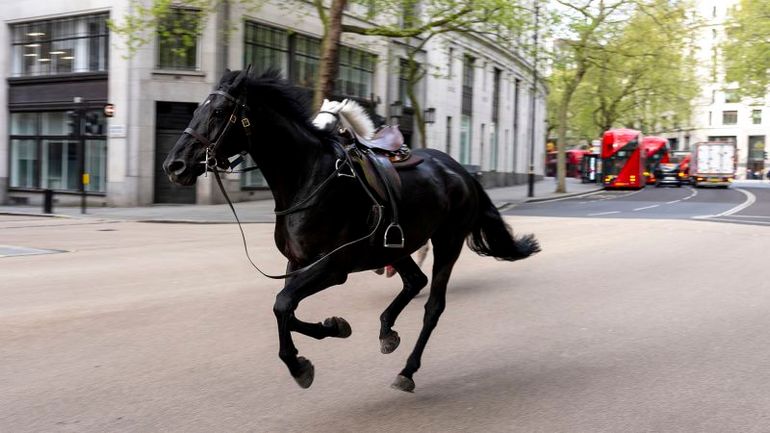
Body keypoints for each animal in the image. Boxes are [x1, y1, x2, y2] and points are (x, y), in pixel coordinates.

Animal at [162, 68, 540, 393]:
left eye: (218, 111)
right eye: (198, 109)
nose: (174, 165)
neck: (309, 178)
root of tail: (461, 170)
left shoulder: (332, 267)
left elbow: (282, 305)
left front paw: (299, 365)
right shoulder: (298, 263)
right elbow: (287, 309)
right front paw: (334, 327)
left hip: (447, 241)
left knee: (433, 306)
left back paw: (407, 370)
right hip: (395, 245)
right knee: (414, 281)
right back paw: (387, 330)